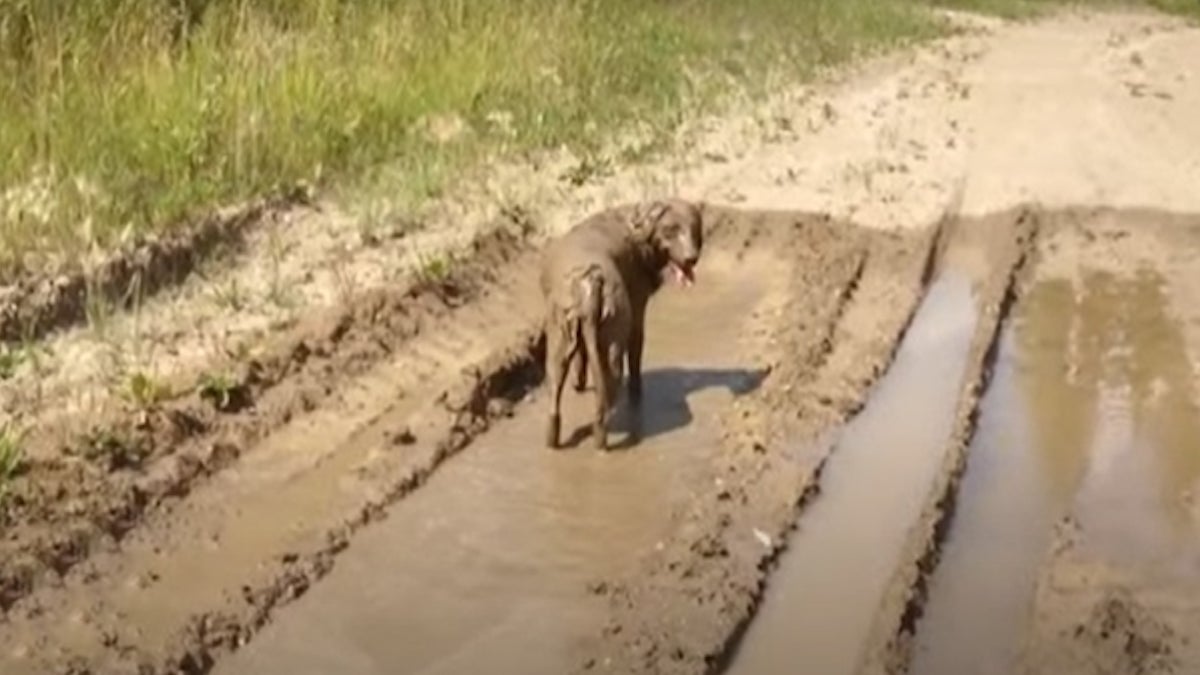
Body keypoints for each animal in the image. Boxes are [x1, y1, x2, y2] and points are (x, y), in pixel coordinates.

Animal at [542, 200, 700, 451]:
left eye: (694, 228)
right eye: (670, 230)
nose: (691, 258)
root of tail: (591, 281)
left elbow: (581, 355)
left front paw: (578, 384)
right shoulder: (636, 304)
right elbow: (636, 349)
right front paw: (637, 392)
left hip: (561, 331)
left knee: (557, 386)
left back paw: (556, 440)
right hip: (612, 333)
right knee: (607, 392)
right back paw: (602, 440)